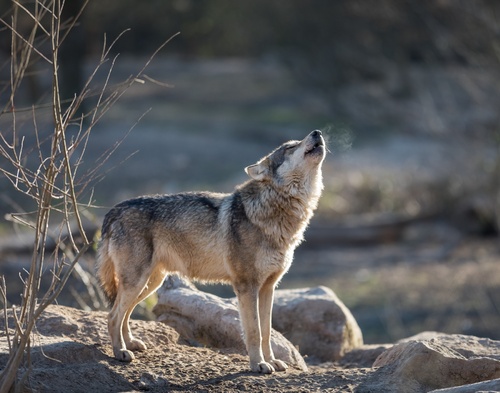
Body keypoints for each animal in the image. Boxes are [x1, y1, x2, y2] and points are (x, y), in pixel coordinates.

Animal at [96, 129, 326, 374]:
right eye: (290, 147)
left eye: (295, 143)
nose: (317, 132)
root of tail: (113, 211)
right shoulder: (246, 287)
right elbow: (254, 331)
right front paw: (258, 364)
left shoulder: (268, 287)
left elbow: (266, 332)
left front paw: (272, 361)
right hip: (137, 282)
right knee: (113, 316)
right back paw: (120, 352)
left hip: (149, 283)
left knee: (124, 314)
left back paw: (130, 344)